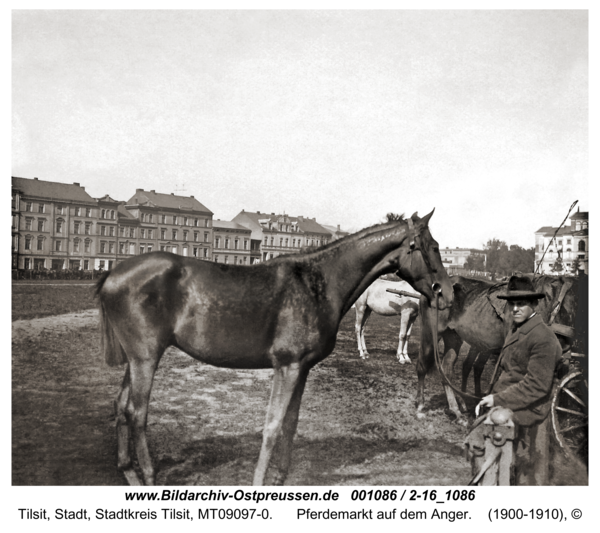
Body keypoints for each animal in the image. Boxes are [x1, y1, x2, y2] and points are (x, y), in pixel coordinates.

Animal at [96, 210, 452, 484]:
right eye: (432, 247)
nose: (446, 293)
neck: (317, 282)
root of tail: (113, 274)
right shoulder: (287, 366)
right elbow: (272, 426)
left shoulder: (302, 369)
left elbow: (290, 425)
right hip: (145, 359)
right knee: (137, 413)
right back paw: (148, 477)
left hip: (135, 361)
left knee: (120, 406)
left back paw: (128, 471)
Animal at [418, 274, 576, 420]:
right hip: (431, 334)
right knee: (422, 366)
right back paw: (420, 405)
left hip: (453, 337)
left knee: (447, 370)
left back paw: (457, 408)